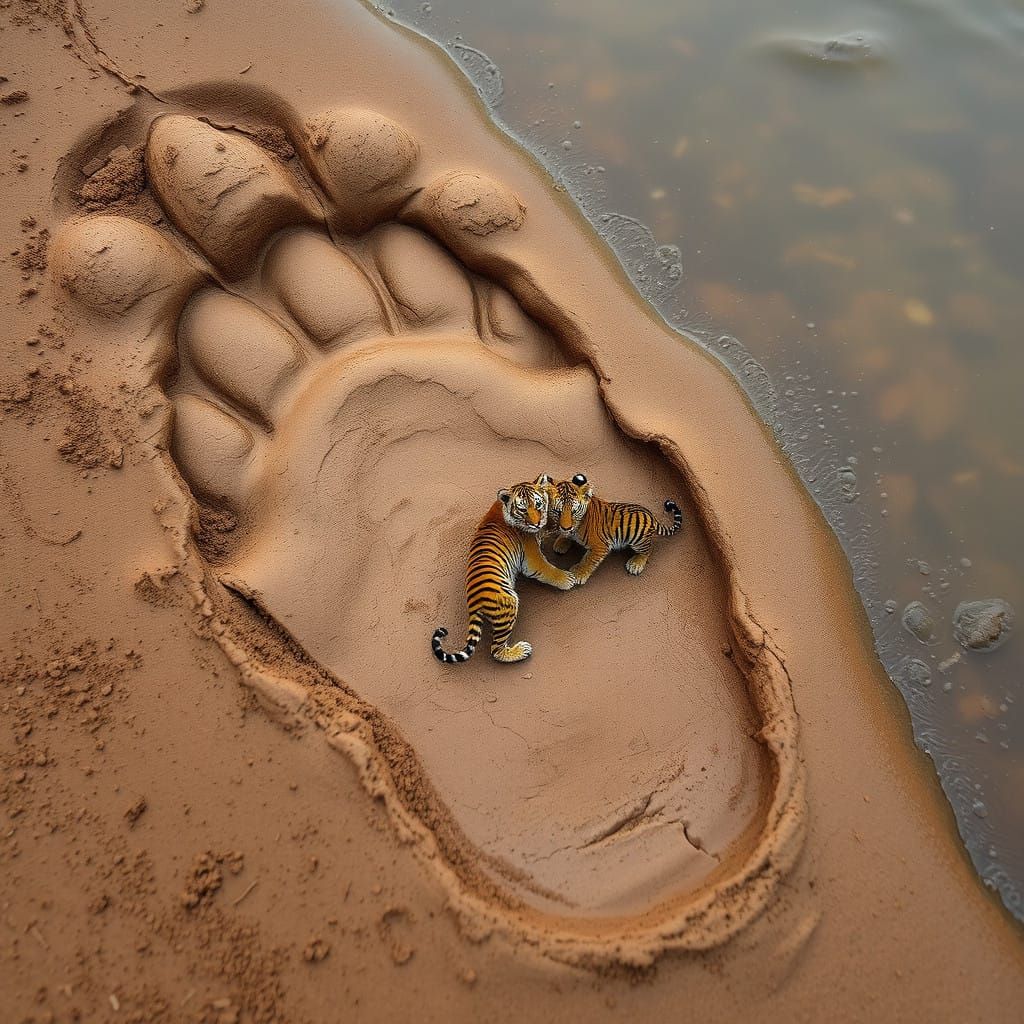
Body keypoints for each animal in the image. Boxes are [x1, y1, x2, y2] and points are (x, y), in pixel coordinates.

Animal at [431, 474, 575, 664]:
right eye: (522, 509)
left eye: (538, 505)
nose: (536, 524)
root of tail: (473, 602)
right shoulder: (532, 559)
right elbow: (548, 569)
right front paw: (568, 579)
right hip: (508, 602)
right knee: (495, 650)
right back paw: (522, 650)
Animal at [547, 474, 683, 584]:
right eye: (558, 511)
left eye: (573, 512)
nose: (566, 527)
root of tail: (651, 516)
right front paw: (561, 543)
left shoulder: (600, 547)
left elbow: (588, 561)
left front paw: (578, 574)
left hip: (637, 539)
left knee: (648, 549)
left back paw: (635, 564)